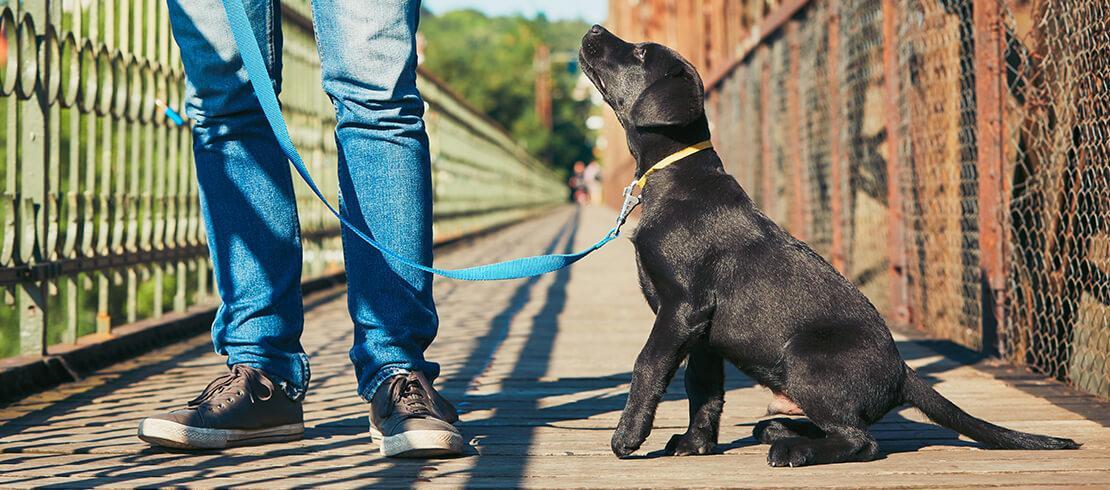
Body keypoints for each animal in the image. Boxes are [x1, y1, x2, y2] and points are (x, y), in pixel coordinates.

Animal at [577, 25, 1078, 466]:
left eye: (641, 52)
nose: (595, 29)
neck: (674, 176)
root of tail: (903, 372)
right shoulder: (701, 332)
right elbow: (703, 389)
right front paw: (695, 445)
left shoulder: (682, 307)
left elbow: (648, 366)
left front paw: (628, 436)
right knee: (824, 426)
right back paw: (782, 431)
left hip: (805, 359)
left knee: (862, 441)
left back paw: (794, 450)